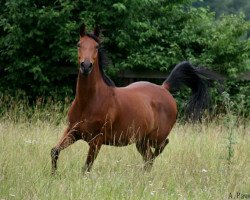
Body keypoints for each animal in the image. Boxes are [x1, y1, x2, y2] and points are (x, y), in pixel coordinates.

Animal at [50, 23, 213, 173]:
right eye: (79, 44)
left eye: (96, 46)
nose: (86, 66)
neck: (88, 102)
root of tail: (164, 88)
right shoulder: (73, 131)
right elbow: (55, 151)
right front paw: (54, 175)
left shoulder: (97, 140)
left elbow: (86, 167)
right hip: (141, 141)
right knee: (148, 158)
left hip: (154, 138)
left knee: (159, 148)